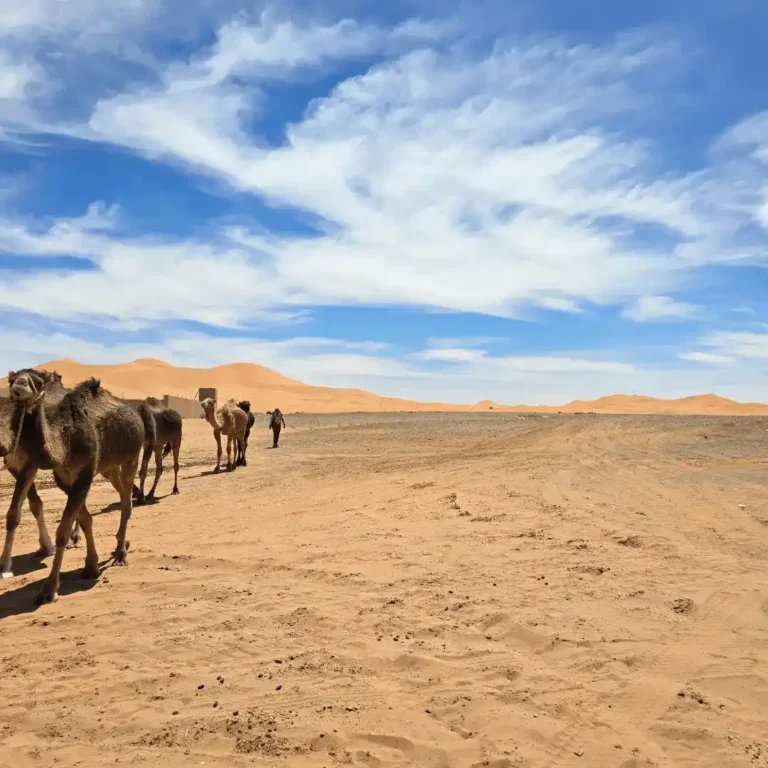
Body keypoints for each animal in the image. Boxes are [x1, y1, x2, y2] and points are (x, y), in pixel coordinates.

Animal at [2, 370, 147, 604]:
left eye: (38, 381)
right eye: (11, 379)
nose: (19, 386)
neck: (64, 441)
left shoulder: (85, 472)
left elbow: (63, 531)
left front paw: (49, 590)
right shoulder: (62, 475)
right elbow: (85, 519)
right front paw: (90, 566)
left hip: (131, 458)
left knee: (126, 503)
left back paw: (120, 553)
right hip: (108, 467)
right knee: (120, 491)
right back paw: (121, 544)